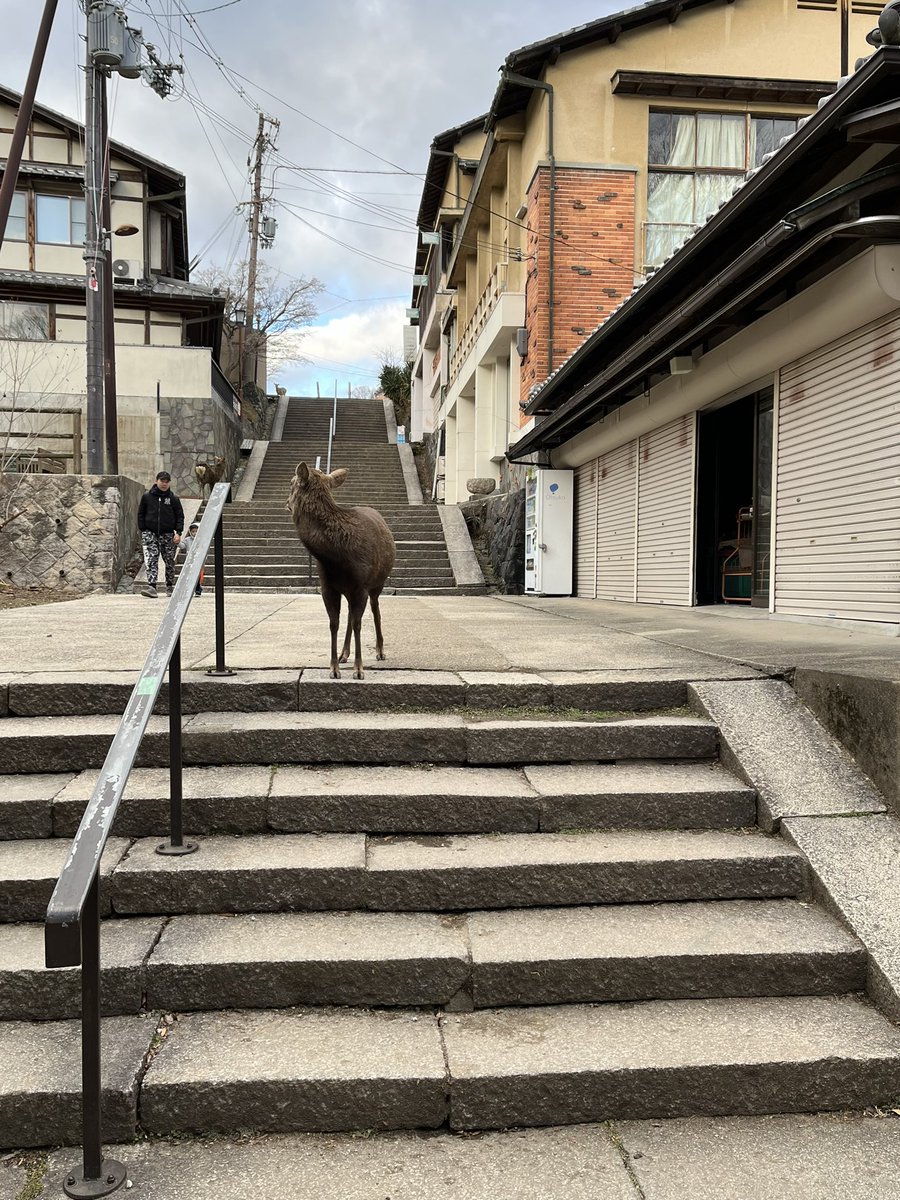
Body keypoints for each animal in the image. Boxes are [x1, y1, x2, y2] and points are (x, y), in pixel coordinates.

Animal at [287, 462, 395, 679]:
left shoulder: (361, 585)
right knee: (349, 615)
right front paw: (334, 668)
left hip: (377, 582)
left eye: (291, 484)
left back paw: (380, 651)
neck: (337, 557)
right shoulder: (327, 586)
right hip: (348, 590)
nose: (286, 503)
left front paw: (359, 670)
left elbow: (358, 623)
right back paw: (344, 654)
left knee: (375, 610)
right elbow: (334, 623)